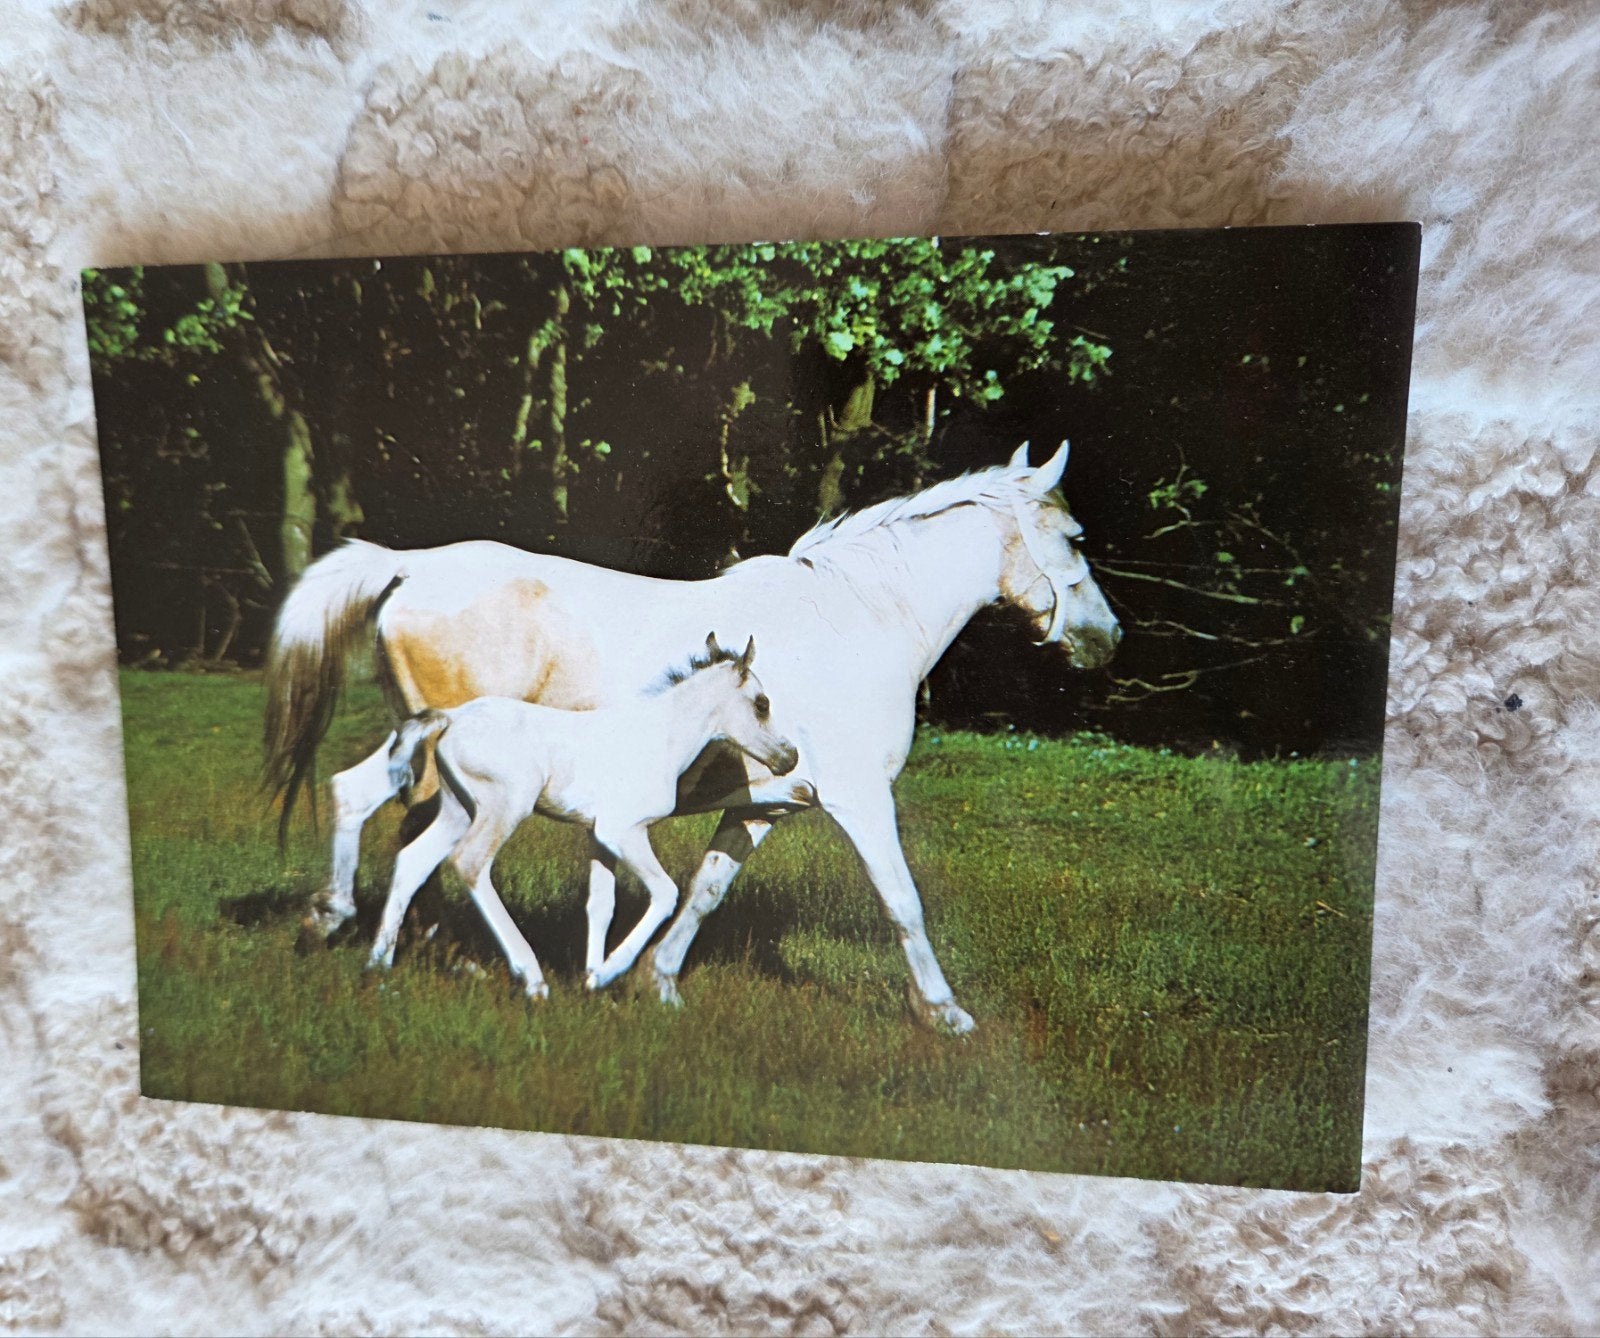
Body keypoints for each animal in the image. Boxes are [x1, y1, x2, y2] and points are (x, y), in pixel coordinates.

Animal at [368, 634, 797, 998]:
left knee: (413, 860)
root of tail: (452, 718)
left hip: (458, 810)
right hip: (504, 806)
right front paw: (607, 973)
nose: (789, 757)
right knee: (471, 863)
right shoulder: (624, 831)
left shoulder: (598, 835)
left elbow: (601, 904)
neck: (660, 738)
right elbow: (665, 893)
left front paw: (590, 981)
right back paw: (532, 978)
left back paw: (379, 967)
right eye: (762, 703)